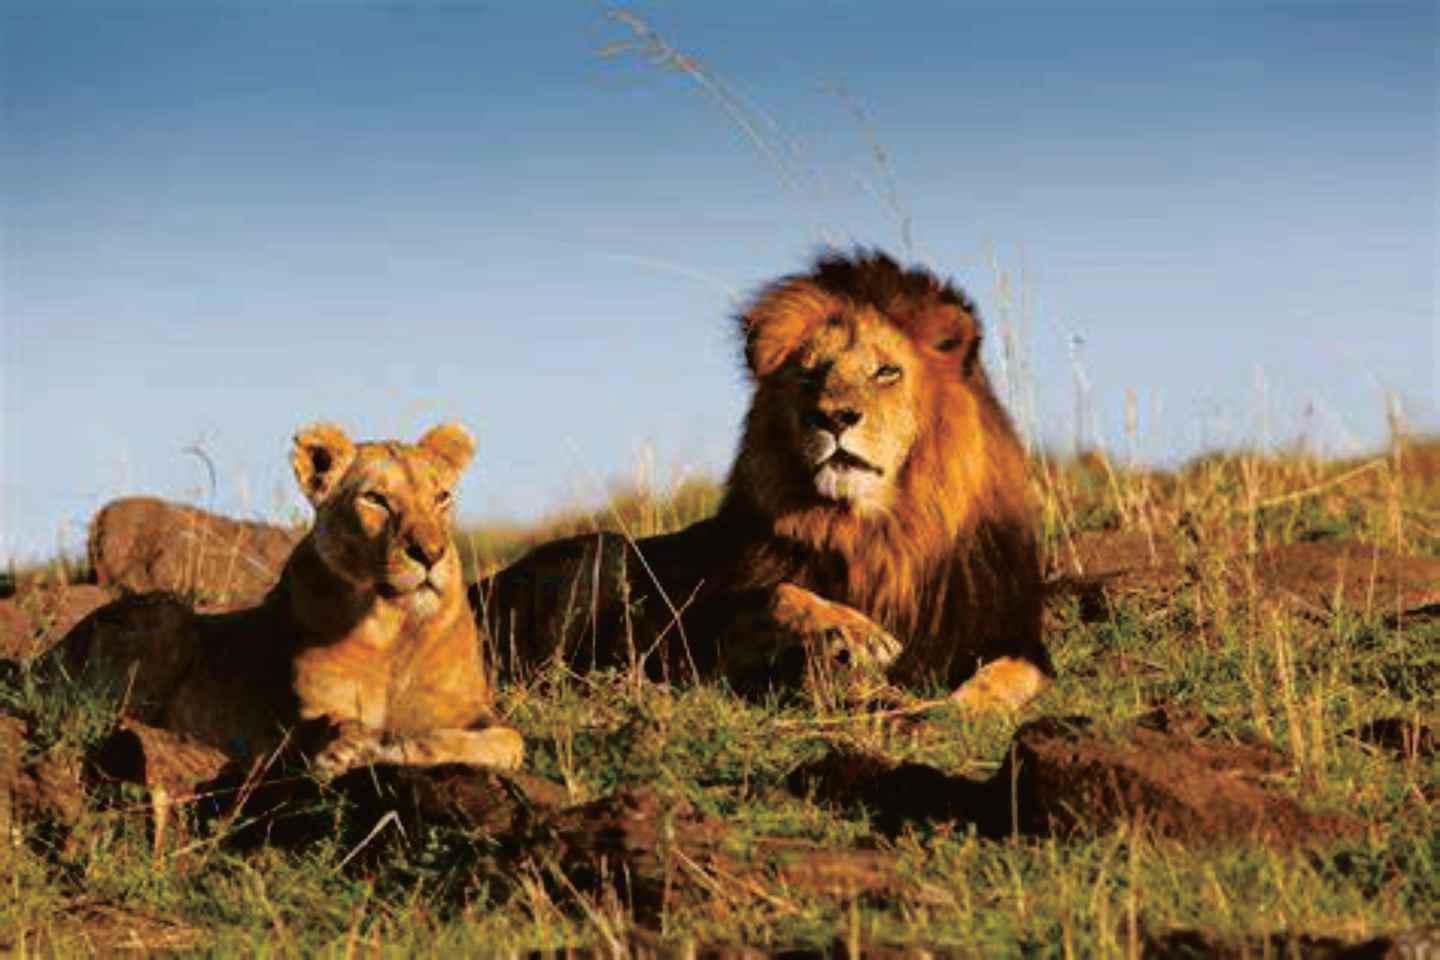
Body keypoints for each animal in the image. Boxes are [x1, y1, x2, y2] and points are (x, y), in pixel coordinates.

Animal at [59, 422, 523, 778]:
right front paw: (346, 746)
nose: (431, 554)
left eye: (441, 497)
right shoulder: (298, 717)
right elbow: (328, 724)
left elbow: (508, 740)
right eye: (375, 499)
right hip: (166, 610)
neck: (395, 625)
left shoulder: (468, 710)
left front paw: (398, 747)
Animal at [477, 250, 1050, 709]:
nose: (833, 417)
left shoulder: (1007, 632)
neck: (875, 532)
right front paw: (856, 632)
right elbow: (780, 593)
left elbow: (1012, 675)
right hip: (604, 551)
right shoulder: (708, 642)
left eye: (886, 372)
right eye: (810, 373)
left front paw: (959, 706)